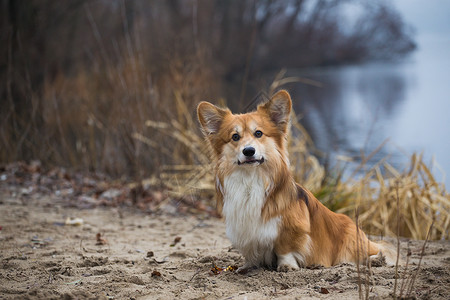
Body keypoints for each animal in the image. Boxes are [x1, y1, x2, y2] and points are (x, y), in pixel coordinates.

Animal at [195, 90, 396, 270]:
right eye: (235, 137)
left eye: (258, 133)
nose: (249, 151)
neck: (250, 179)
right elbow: (250, 252)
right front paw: (248, 266)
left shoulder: (291, 228)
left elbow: (286, 248)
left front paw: (287, 266)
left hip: (350, 239)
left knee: (373, 251)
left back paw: (376, 259)